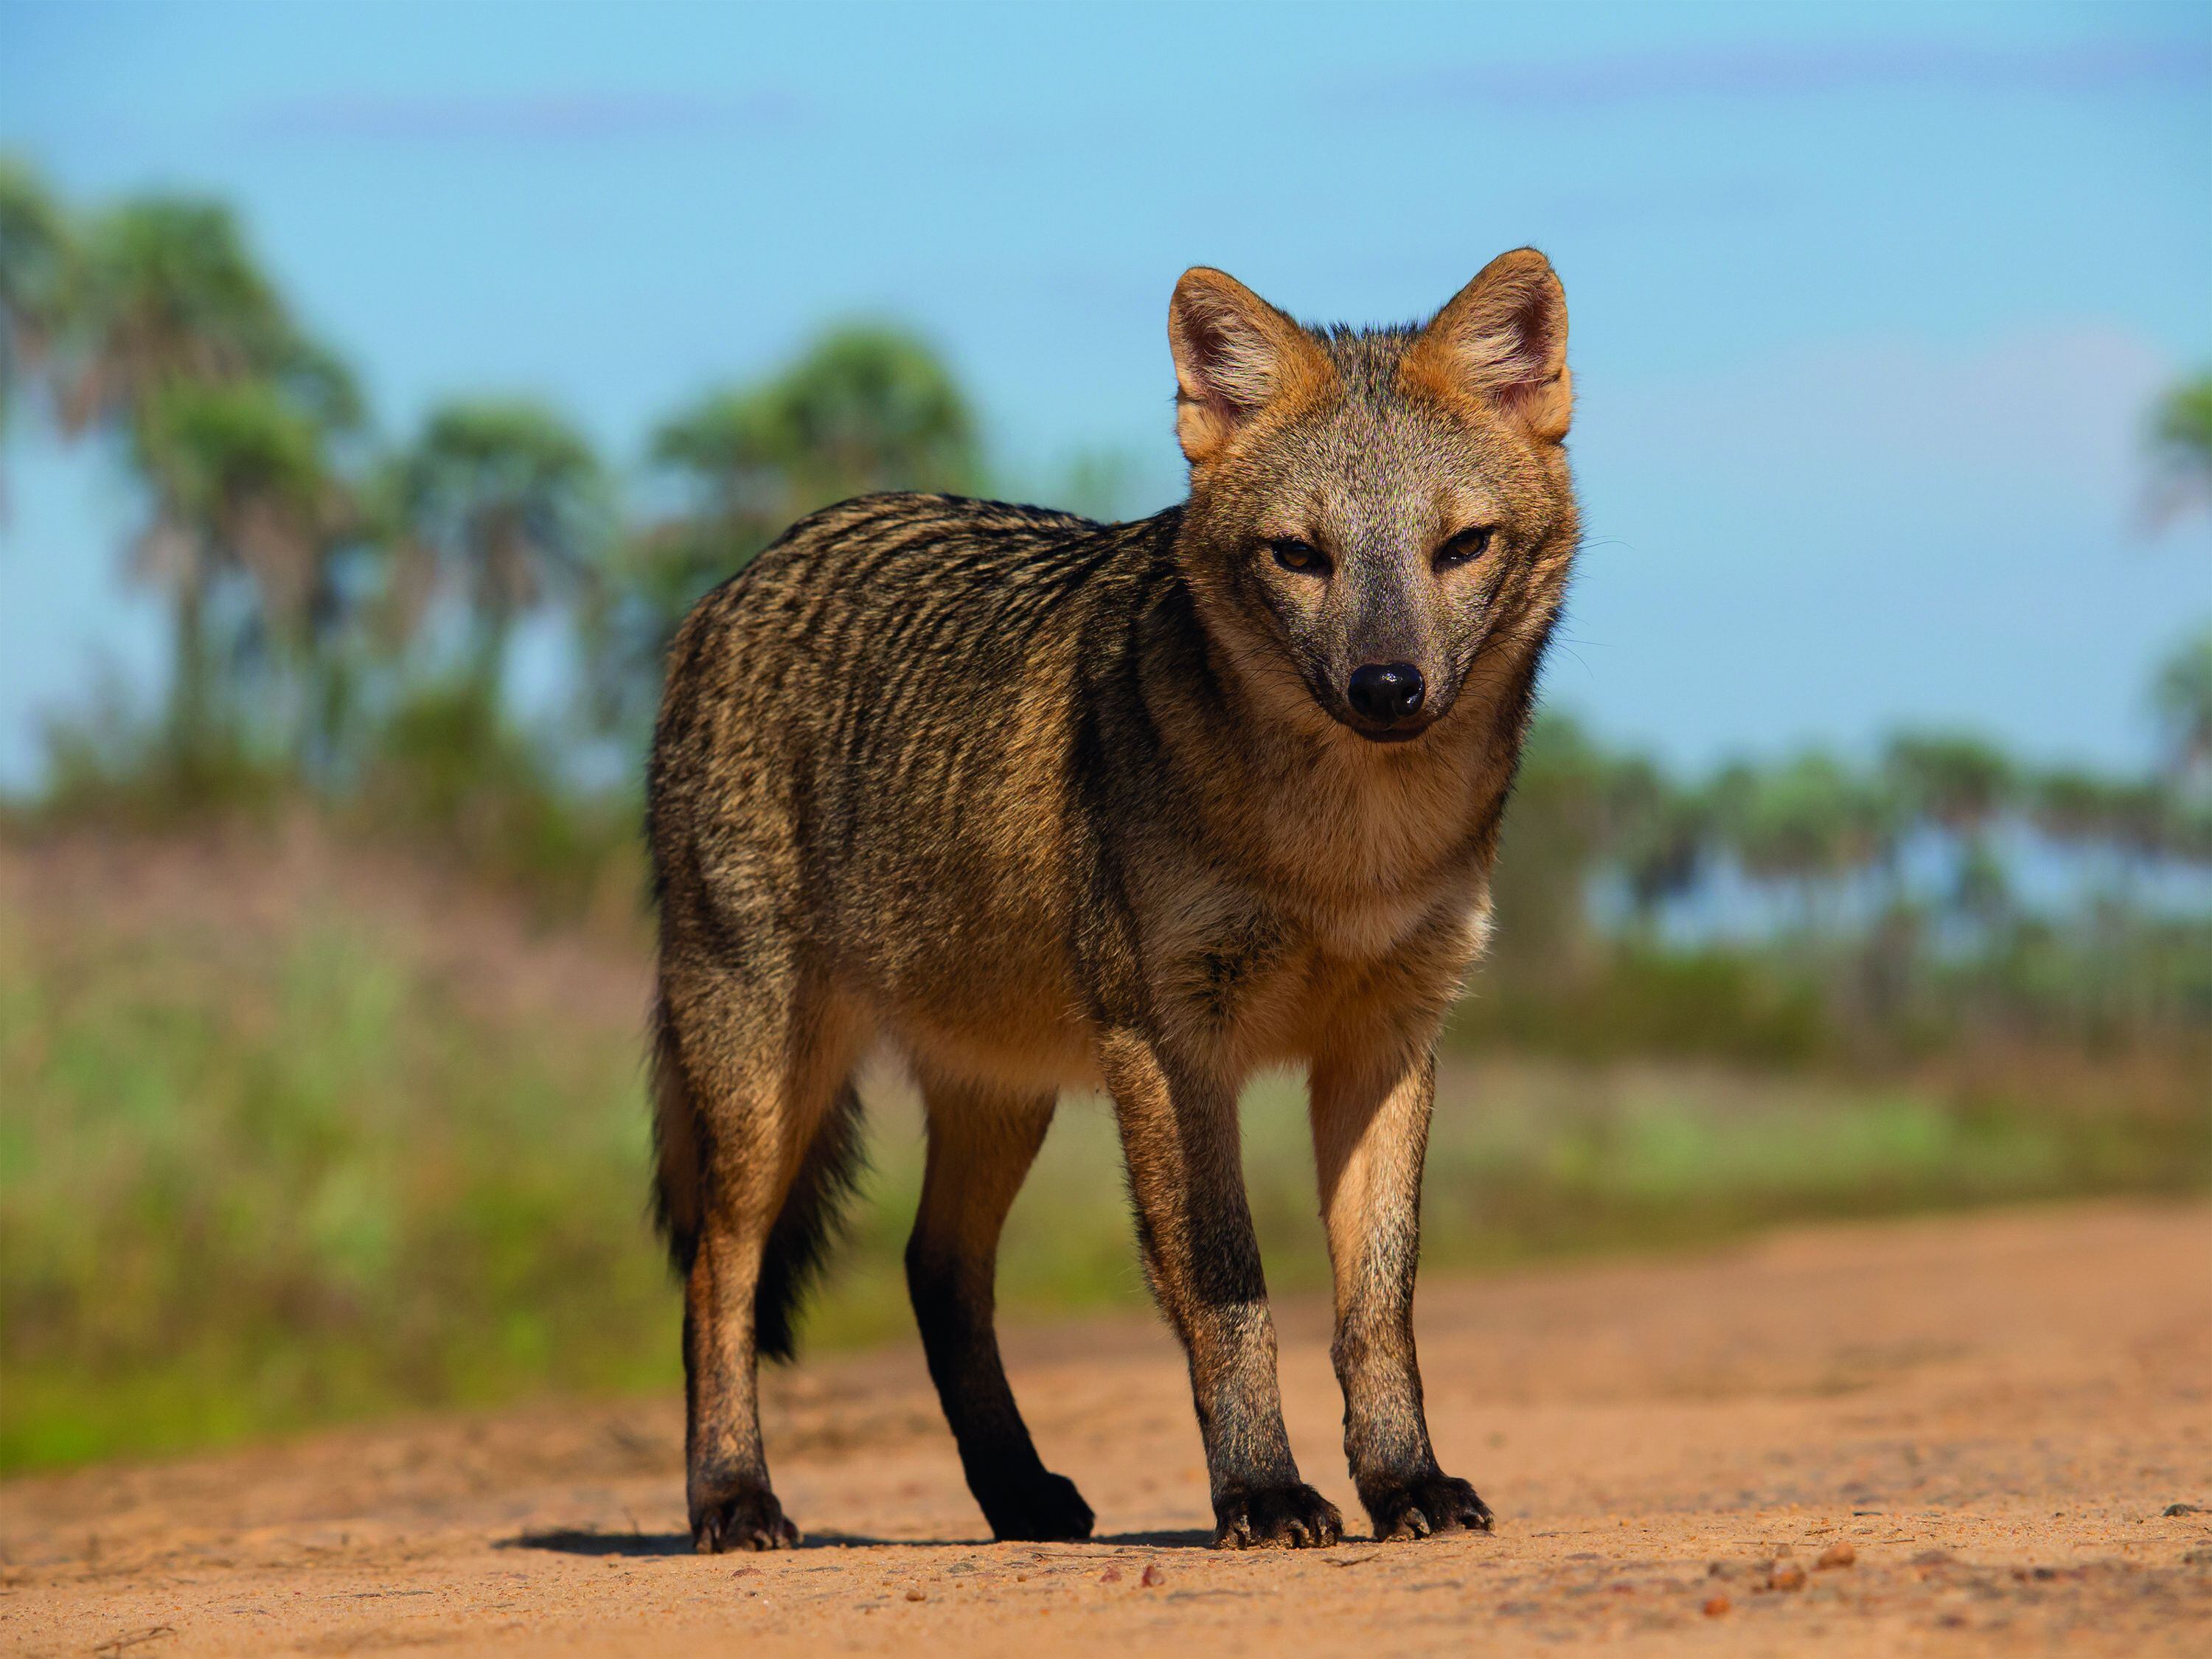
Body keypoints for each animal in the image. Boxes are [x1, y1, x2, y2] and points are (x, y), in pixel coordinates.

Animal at [646, 250, 1584, 1557]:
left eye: (1461, 546)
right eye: (1301, 556)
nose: (1387, 687)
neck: (1344, 853)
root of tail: (739, 576)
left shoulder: (1388, 1039)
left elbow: (1375, 1307)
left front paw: (1405, 1480)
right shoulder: (1172, 1044)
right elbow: (1228, 1290)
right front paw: (1262, 1491)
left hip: (1001, 1095)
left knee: (935, 1269)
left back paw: (1019, 1496)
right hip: (764, 1087)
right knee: (715, 1278)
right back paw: (733, 1495)